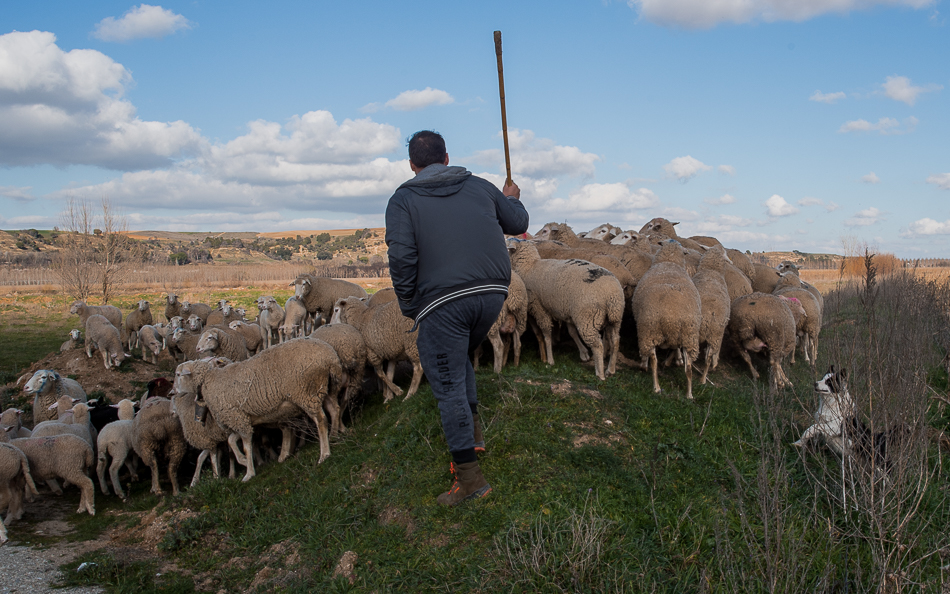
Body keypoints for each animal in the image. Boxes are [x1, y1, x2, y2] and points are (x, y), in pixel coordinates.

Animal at [176, 336, 346, 478]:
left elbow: (245, 446)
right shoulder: (242, 420)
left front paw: (249, 473)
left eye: (178, 375)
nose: (174, 392)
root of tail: (329, 355)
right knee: (334, 409)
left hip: (307, 393)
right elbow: (232, 441)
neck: (211, 379)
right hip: (323, 388)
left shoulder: (237, 418)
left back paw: (324, 454)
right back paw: (334, 436)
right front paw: (244, 461)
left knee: (321, 420)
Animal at [512, 237, 624, 380]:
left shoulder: (539, 308)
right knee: (615, 341)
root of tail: (611, 294)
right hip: (614, 318)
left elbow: (546, 333)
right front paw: (584, 354)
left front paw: (550, 360)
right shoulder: (567, 312)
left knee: (597, 345)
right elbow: (572, 332)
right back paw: (611, 369)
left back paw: (600, 374)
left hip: (587, 318)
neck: (529, 266)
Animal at [632, 237, 708, 398]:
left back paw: (655, 385)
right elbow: (676, 349)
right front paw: (676, 360)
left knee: (653, 361)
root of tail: (671, 319)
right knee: (689, 369)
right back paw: (689, 394)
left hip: (649, 331)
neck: (669, 262)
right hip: (689, 337)